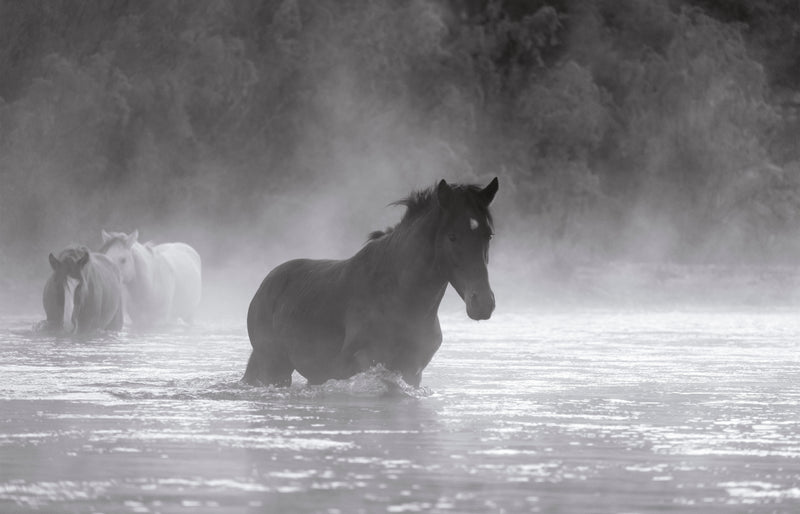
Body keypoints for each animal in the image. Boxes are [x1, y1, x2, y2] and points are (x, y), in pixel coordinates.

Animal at [244, 178, 496, 386]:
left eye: (488, 234)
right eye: (452, 236)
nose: (483, 303)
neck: (400, 297)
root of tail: (265, 285)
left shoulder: (412, 371)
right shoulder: (364, 363)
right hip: (273, 367)